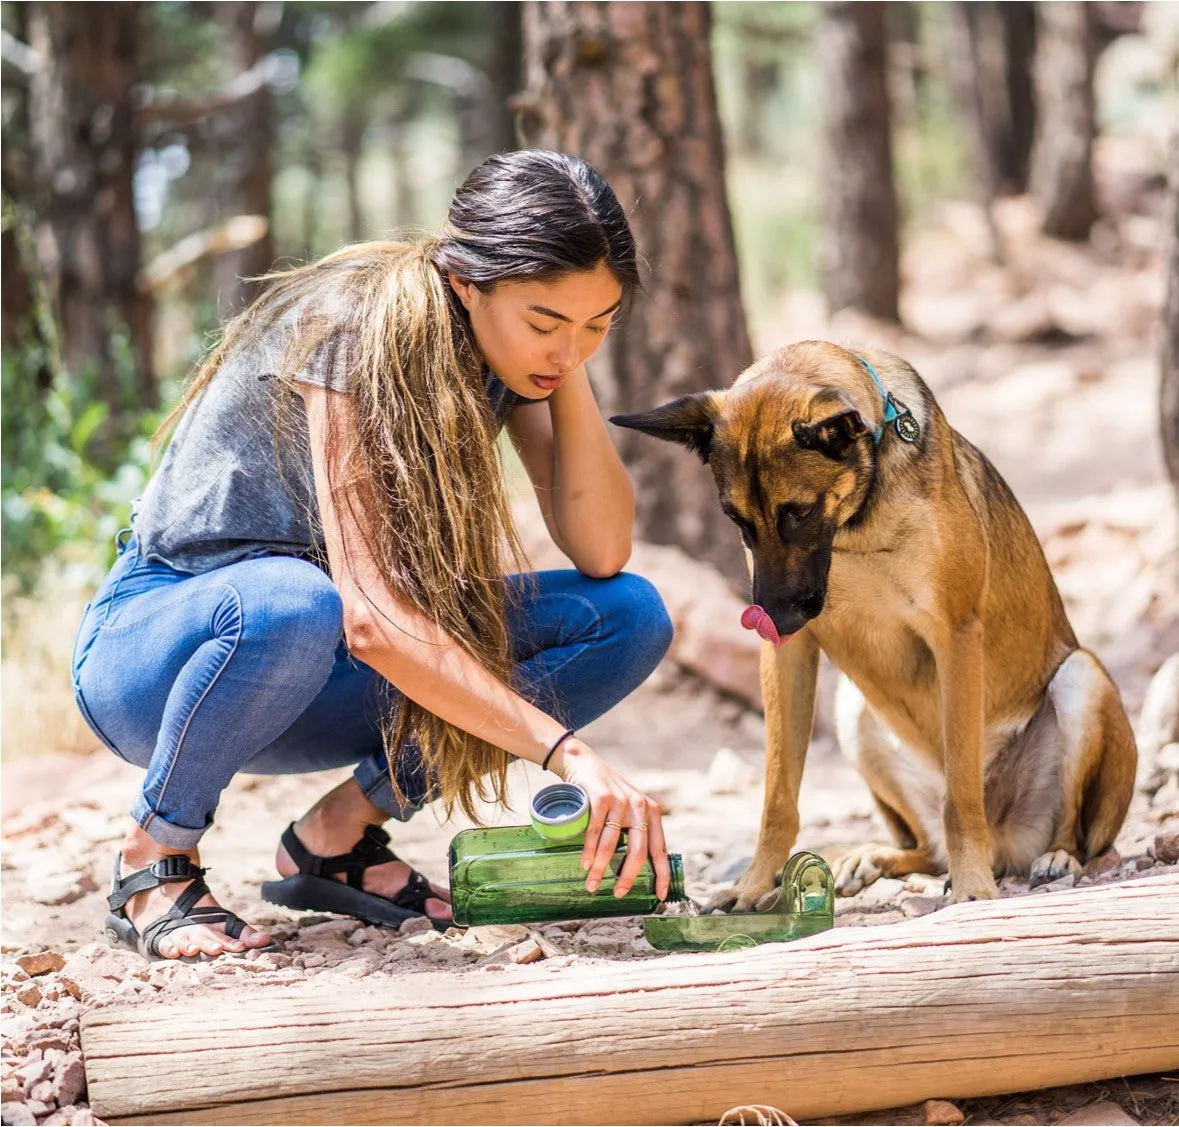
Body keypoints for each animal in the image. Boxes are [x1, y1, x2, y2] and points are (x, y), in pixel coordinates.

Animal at [613, 341, 1136, 905]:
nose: (771, 620)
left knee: (1076, 834)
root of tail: (1005, 842)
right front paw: (752, 884)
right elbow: (777, 797)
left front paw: (973, 887)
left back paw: (1052, 857)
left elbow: (961, 797)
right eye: (738, 520)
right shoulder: (789, 655)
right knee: (925, 848)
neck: (854, 525)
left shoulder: (955, 634)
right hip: (852, 708)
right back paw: (872, 856)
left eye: (798, 512)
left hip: (1082, 679)